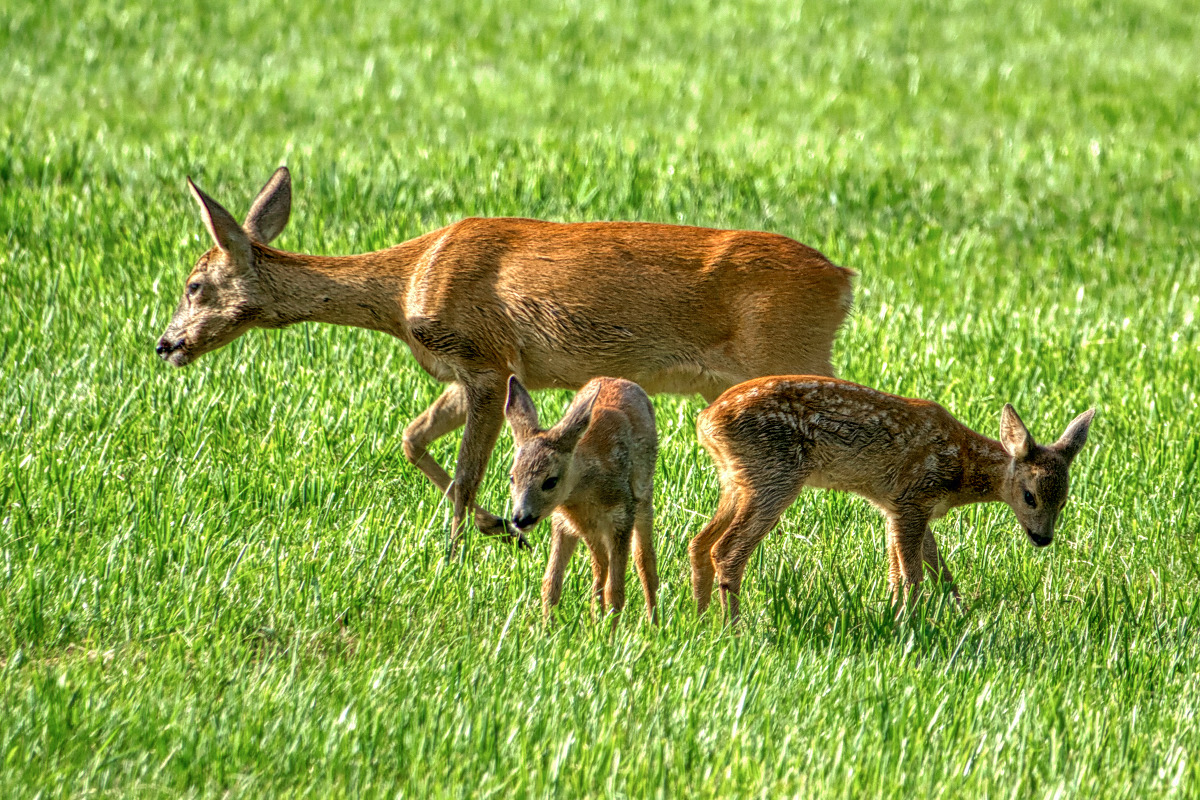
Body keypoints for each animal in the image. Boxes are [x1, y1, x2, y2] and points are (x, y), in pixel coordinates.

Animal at [157, 167, 854, 544]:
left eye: (194, 284)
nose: (165, 344)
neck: (404, 286)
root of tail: (843, 280)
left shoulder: (486, 359)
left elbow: (467, 473)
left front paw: (453, 552)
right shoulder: (464, 371)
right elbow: (411, 438)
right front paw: (494, 526)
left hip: (789, 349)